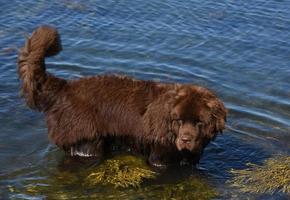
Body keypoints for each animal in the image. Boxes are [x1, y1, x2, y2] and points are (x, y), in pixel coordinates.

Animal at [18, 25, 227, 168]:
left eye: (199, 122)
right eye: (179, 120)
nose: (185, 139)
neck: (169, 129)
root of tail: (64, 87)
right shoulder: (161, 154)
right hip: (86, 138)